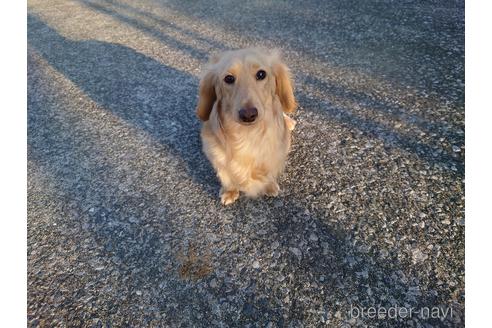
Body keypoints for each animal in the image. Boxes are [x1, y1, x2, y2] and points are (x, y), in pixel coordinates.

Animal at [195, 48, 296, 205]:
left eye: (261, 74)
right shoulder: (217, 157)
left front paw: (270, 186)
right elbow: (226, 177)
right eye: (229, 78)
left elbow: (270, 170)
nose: (248, 115)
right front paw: (230, 191)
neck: (248, 134)